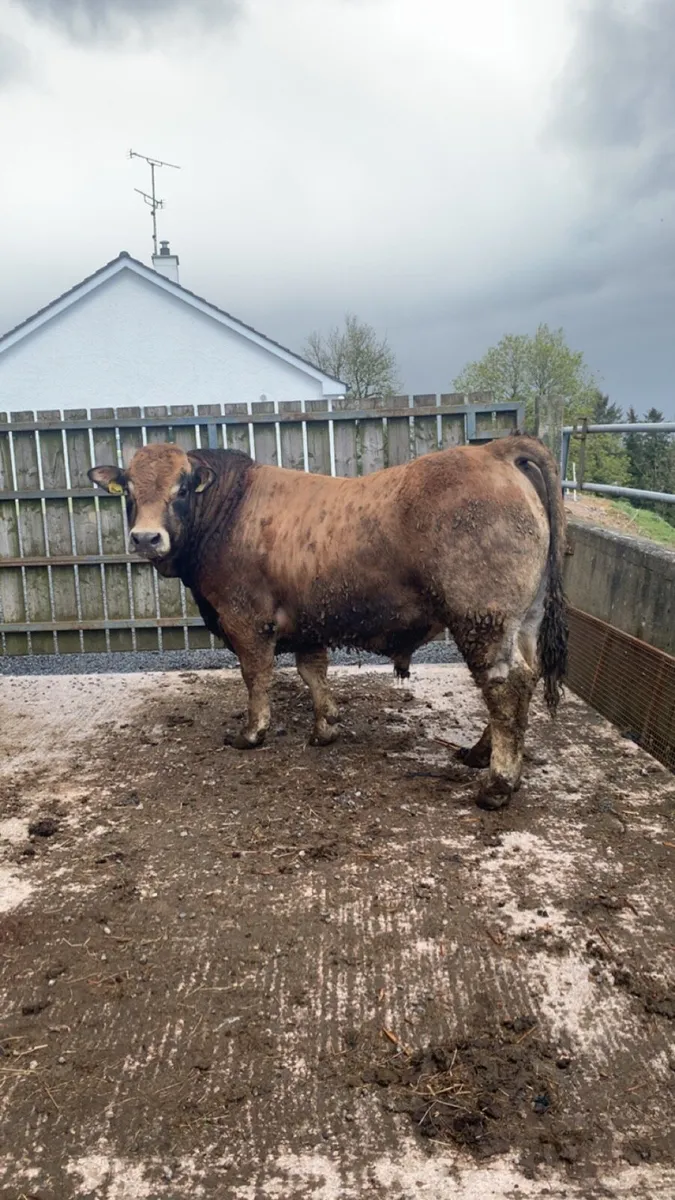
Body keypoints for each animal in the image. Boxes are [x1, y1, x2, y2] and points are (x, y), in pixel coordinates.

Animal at [88, 434, 567, 809]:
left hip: (482, 618)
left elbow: (256, 676)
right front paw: (325, 727)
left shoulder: (245, 619)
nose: (146, 538)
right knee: (522, 678)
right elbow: (312, 672)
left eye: (183, 487)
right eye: (127, 488)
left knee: (504, 687)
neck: (230, 509)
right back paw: (478, 754)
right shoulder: (307, 621)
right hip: (523, 620)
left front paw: (252, 733)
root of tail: (493, 451)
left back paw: (497, 784)